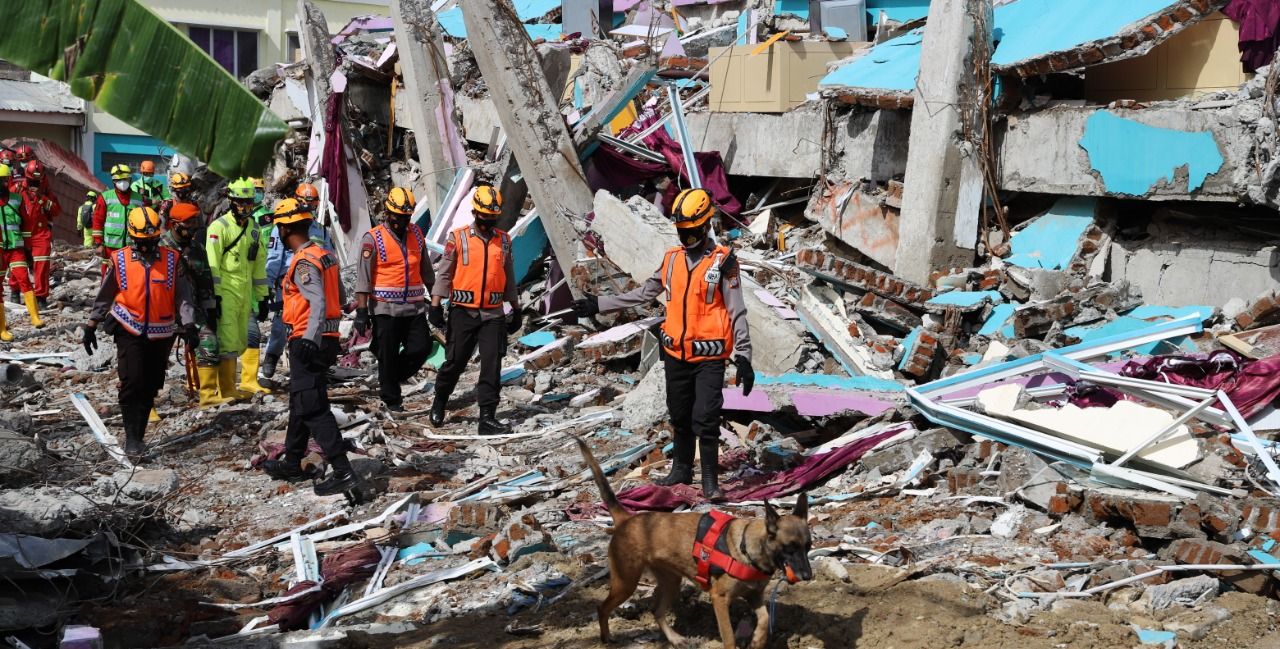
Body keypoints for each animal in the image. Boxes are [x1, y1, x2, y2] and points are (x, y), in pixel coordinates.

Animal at [578, 437, 814, 649]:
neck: (748, 548)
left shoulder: (755, 596)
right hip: (625, 583)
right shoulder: (719, 599)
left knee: (657, 611)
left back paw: (675, 639)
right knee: (602, 608)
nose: (808, 576)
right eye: (789, 548)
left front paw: (757, 640)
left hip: (671, 583)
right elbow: (729, 637)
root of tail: (627, 518)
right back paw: (606, 638)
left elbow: (765, 619)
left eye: (808, 547)